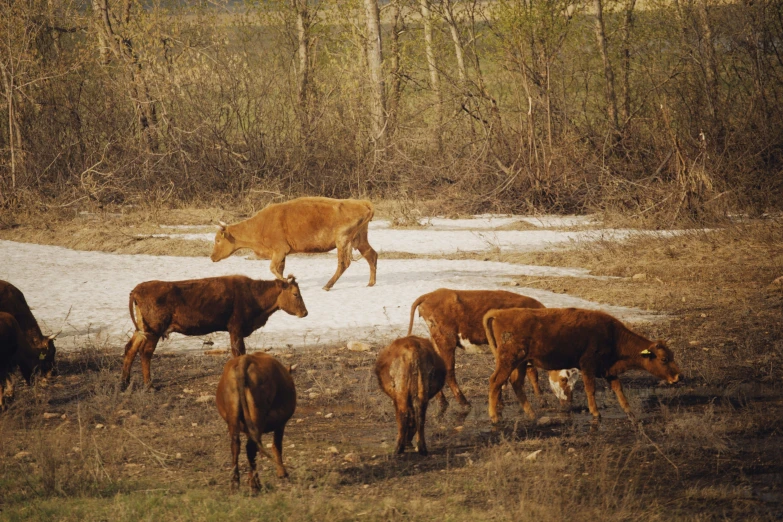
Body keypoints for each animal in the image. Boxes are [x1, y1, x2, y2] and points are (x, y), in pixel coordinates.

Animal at [121, 274, 308, 388]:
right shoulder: (235, 328)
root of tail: (136, 290)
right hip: (154, 330)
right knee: (145, 353)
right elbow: (238, 352)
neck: (254, 296)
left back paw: (125, 383)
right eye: (295, 294)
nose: (305, 313)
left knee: (130, 348)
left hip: (142, 329)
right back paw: (149, 385)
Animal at [210, 197, 378, 290]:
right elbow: (279, 269)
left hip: (342, 241)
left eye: (218, 240)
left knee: (344, 263)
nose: (212, 257)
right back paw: (370, 283)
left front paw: (287, 280)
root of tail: (362, 203)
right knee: (372, 255)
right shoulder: (282, 254)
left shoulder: (279, 250)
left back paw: (327, 285)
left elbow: (273, 268)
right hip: (359, 240)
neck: (260, 224)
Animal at [214, 352, 298, 490]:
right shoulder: (281, 424)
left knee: (236, 445)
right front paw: (282, 473)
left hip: (234, 418)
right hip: (258, 416)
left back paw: (235, 483)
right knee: (251, 447)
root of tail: (245, 359)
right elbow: (277, 446)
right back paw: (255, 485)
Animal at [408, 288, 548, 406]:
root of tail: (430, 295)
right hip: (446, 341)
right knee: (449, 372)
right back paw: (464, 402)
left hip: (437, 342)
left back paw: (443, 401)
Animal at [484, 304, 680, 422]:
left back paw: (531, 414)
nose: (677, 377)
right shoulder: (588, 365)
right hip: (509, 360)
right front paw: (596, 413)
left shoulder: (608, 370)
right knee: (495, 382)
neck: (613, 335)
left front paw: (630, 412)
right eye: (664, 359)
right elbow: (590, 389)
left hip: (521, 363)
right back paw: (494, 417)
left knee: (516, 383)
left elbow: (619, 389)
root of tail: (500, 313)